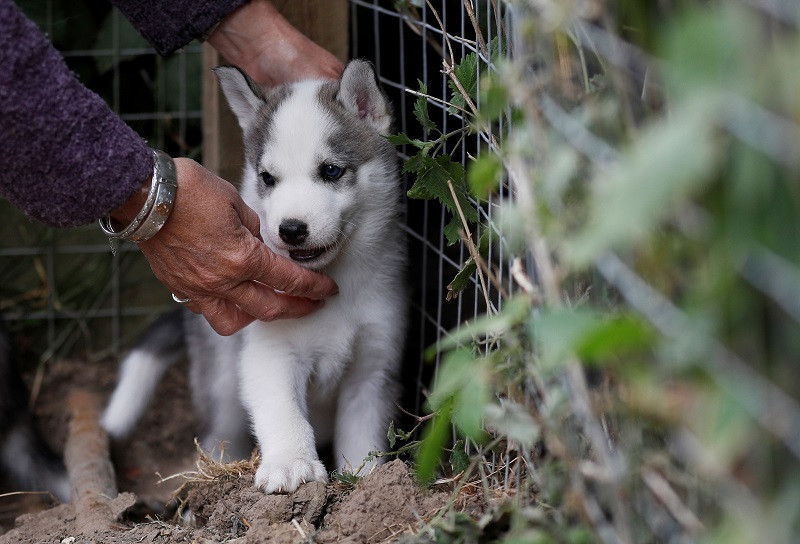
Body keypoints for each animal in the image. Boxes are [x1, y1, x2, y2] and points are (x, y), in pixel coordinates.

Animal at [103, 60, 406, 492]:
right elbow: (284, 412)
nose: (291, 230)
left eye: (331, 171)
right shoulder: (270, 353)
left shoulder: (372, 370)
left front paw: (367, 482)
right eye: (267, 178)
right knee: (220, 430)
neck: (337, 289)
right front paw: (291, 463)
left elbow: (363, 438)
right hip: (223, 384)